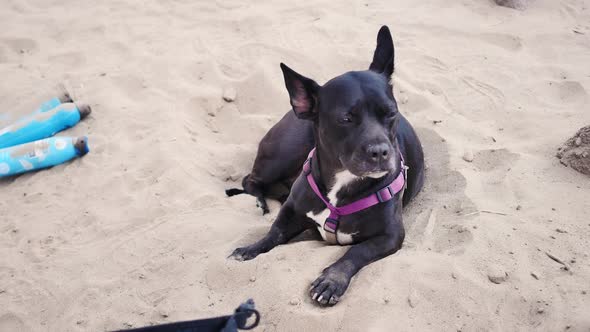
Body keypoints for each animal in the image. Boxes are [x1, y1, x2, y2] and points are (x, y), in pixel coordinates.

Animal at [228, 25, 426, 306]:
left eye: (391, 113)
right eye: (346, 119)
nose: (380, 151)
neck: (341, 186)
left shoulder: (391, 235)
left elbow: (356, 251)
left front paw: (332, 280)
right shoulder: (291, 211)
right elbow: (273, 232)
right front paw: (250, 248)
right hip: (283, 153)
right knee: (250, 180)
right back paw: (260, 200)